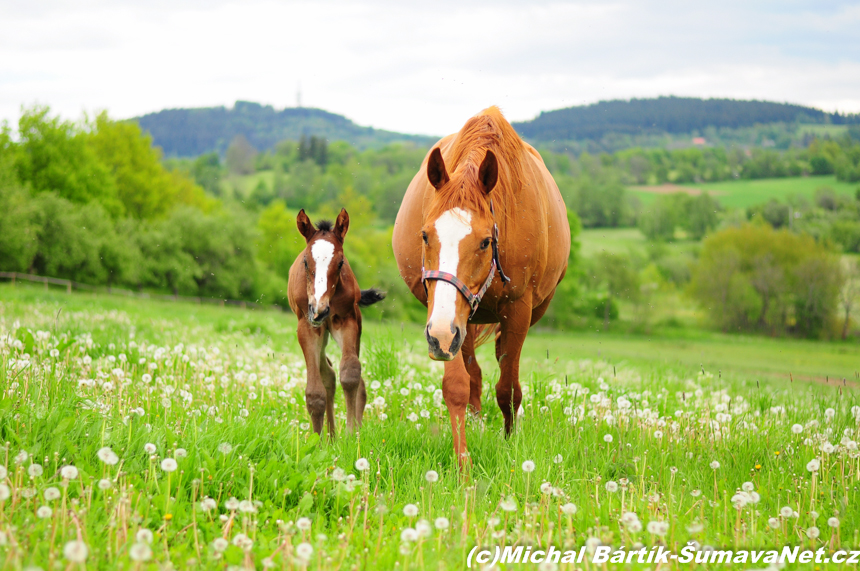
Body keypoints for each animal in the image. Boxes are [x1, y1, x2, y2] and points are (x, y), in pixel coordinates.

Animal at [288, 209, 384, 438]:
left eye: (340, 263)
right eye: (306, 262)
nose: (320, 309)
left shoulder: (346, 320)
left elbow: (350, 373)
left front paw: (350, 434)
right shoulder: (307, 326)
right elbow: (315, 392)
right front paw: (318, 440)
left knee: (352, 380)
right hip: (321, 331)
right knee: (328, 375)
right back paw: (330, 437)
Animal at [392, 106, 568, 464]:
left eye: (486, 242)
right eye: (424, 235)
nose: (441, 335)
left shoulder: (517, 310)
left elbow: (508, 388)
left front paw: (510, 443)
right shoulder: (447, 325)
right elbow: (458, 385)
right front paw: (462, 459)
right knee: (474, 373)